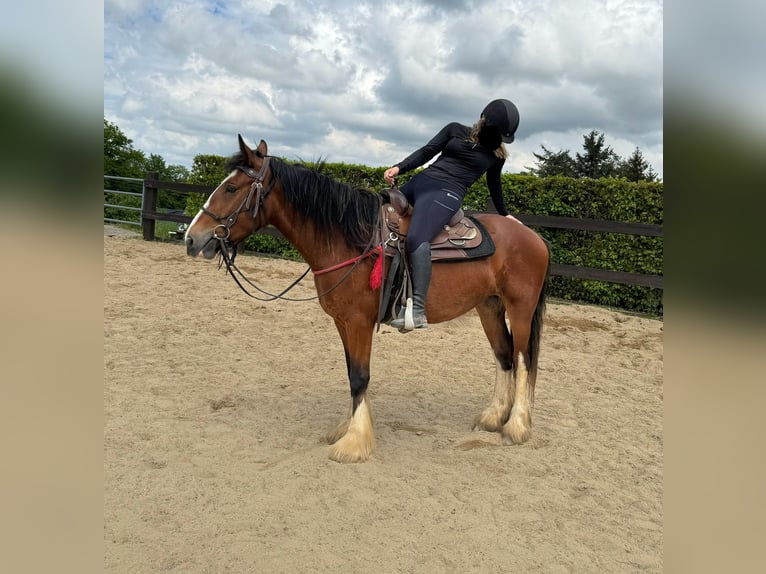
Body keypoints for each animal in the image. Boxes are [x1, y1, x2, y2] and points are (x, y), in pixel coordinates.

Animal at [186, 137, 552, 466]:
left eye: (231, 189)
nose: (192, 238)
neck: (350, 238)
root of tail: (534, 236)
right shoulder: (342, 322)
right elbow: (352, 374)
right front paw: (347, 429)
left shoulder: (359, 322)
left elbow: (360, 376)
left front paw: (354, 443)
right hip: (489, 306)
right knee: (503, 355)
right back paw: (493, 417)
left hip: (520, 308)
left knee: (522, 359)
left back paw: (516, 426)